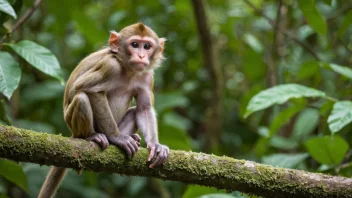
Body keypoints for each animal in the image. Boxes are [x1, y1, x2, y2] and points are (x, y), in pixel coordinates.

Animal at [37, 22, 170, 197]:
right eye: (135, 44)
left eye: (147, 46)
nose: (141, 56)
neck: (127, 69)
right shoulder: (110, 67)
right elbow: (89, 89)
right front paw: (117, 138)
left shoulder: (147, 76)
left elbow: (144, 109)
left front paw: (155, 145)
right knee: (82, 98)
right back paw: (91, 136)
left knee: (134, 111)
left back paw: (132, 137)